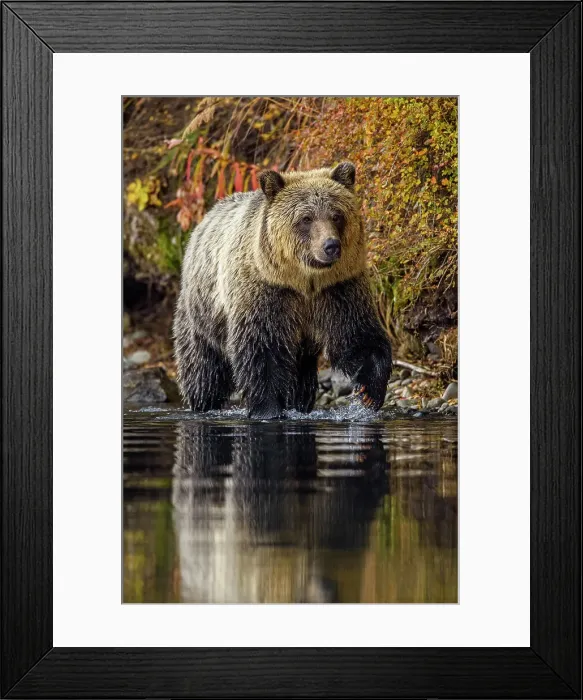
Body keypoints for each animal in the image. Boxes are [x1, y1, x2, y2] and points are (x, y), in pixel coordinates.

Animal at [173, 161, 392, 419]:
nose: (331, 246)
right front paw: (267, 409)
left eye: (337, 215)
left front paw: (370, 391)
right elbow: (263, 349)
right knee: (203, 369)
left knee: (301, 374)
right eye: (306, 218)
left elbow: (358, 336)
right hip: (200, 315)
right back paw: (203, 402)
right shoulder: (268, 291)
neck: (304, 281)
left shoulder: (338, 289)